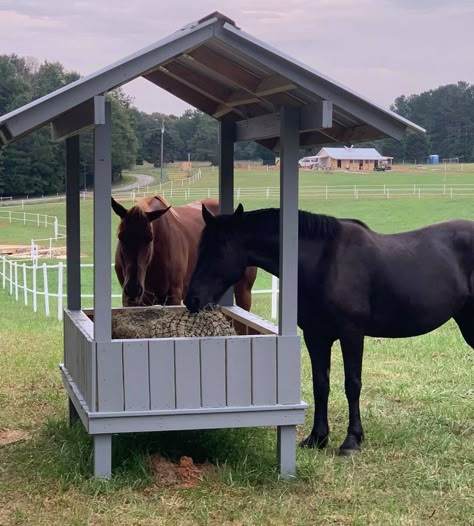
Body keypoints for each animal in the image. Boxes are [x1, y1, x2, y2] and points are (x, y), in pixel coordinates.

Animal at [111, 197, 258, 310]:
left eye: (149, 239)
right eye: (120, 237)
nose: (133, 289)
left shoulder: (173, 297)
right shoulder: (131, 301)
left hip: (243, 290)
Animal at [186, 204, 474, 456]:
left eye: (218, 250)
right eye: (199, 248)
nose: (192, 300)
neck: (323, 261)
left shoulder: (352, 333)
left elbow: (352, 384)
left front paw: (351, 440)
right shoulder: (316, 336)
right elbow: (320, 384)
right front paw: (317, 437)